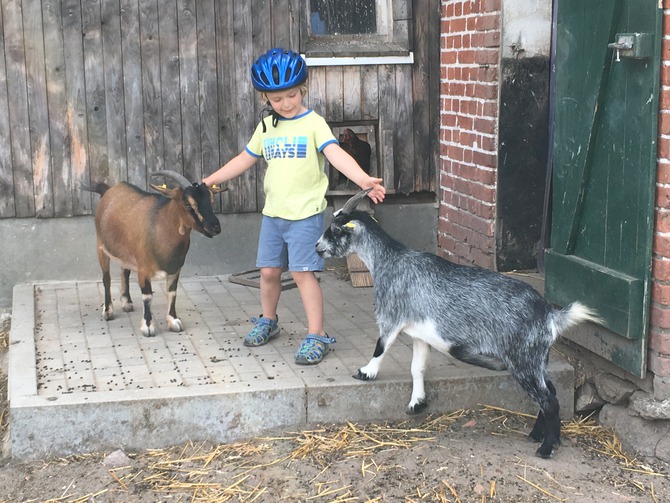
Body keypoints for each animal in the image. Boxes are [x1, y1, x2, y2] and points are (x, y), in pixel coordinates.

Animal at [89, 170, 227, 338]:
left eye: (211, 200)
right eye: (187, 204)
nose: (215, 227)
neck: (161, 227)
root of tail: (110, 190)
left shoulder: (175, 270)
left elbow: (172, 293)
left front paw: (173, 321)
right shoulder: (143, 270)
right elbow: (147, 297)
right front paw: (148, 327)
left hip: (125, 252)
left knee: (124, 271)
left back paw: (127, 302)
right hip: (101, 247)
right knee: (106, 278)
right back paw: (108, 311)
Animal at [316, 188, 604, 456]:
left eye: (335, 229)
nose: (318, 247)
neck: (388, 260)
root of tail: (550, 315)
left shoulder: (391, 316)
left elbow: (381, 347)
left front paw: (365, 372)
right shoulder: (419, 334)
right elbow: (417, 368)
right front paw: (417, 402)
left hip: (523, 359)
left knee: (549, 400)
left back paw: (546, 447)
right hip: (537, 359)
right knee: (551, 391)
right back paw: (535, 435)